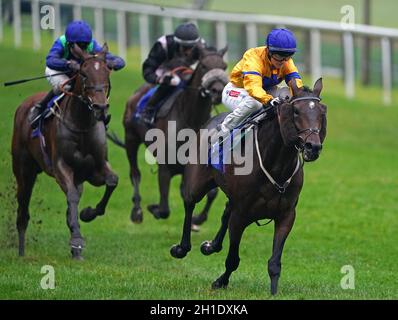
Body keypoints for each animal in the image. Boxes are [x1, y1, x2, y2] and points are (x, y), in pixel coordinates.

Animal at [12, 43, 118, 260]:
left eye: (106, 72)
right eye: (84, 74)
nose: (100, 107)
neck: (82, 125)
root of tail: (23, 106)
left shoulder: (96, 168)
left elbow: (112, 181)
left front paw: (88, 213)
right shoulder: (61, 166)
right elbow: (71, 196)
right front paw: (77, 240)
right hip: (24, 171)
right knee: (23, 209)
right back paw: (21, 252)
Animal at [118, 45, 227, 224]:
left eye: (224, 66)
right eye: (204, 66)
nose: (217, 91)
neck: (191, 120)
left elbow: (211, 192)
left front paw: (198, 219)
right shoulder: (165, 167)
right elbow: (164, 210)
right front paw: (153, 208)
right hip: (131, 138)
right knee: (135, 173)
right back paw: (137, 210)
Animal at [169, 78, 328, 296]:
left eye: (321, 111)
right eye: (296, 111)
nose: (313, 147)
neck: (276, 166)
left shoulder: (286, 215)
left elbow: (274, 262)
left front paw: (273, 292)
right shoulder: (241, 215)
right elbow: (232, 259)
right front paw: (220, 281)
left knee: (225, 210)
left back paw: (211, 246)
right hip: (196, 183)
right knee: (189, 203)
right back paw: (182, 248)